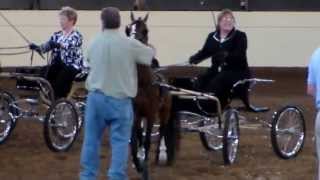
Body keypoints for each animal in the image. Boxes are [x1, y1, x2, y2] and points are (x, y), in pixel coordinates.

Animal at [126, 11, 179, 172]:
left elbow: (148, 139)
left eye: (145, 30)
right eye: (128, 29)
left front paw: (144, 161)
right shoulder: (136, 113)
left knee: (162, 130)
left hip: (164, 112)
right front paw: (137, 161)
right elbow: (136, 138)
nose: (132, 43)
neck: (143, 83)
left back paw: (158, 156)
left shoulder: (150, 113)